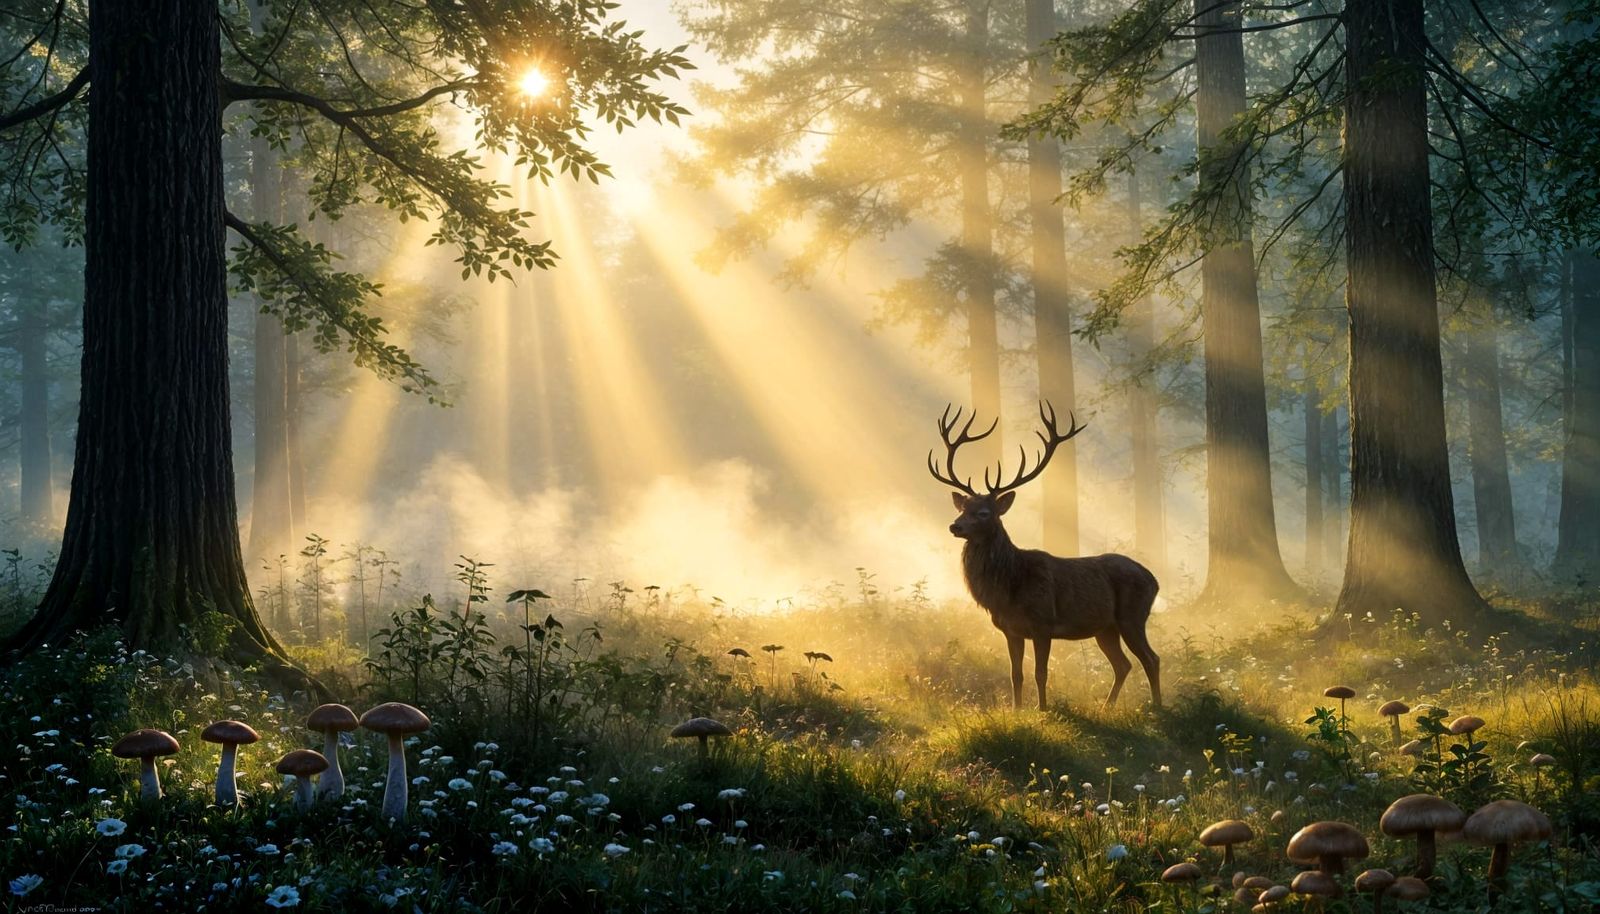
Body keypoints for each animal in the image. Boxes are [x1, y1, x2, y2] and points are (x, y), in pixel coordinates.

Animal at [929, 402, 1162, 712]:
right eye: (963, 507)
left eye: (984, 512)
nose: (955, 526)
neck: (1009, 587)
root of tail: (1154, 579)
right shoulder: (1010, 630)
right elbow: (1015, 673)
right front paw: (1016, 710)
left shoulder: (1042, 624)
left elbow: (1041, 672)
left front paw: (1043, 709)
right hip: (1105, 627)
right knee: (1123, 664)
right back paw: (1107, 707)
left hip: (1132, 615)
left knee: (1151, 658)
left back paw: (1158, 707)